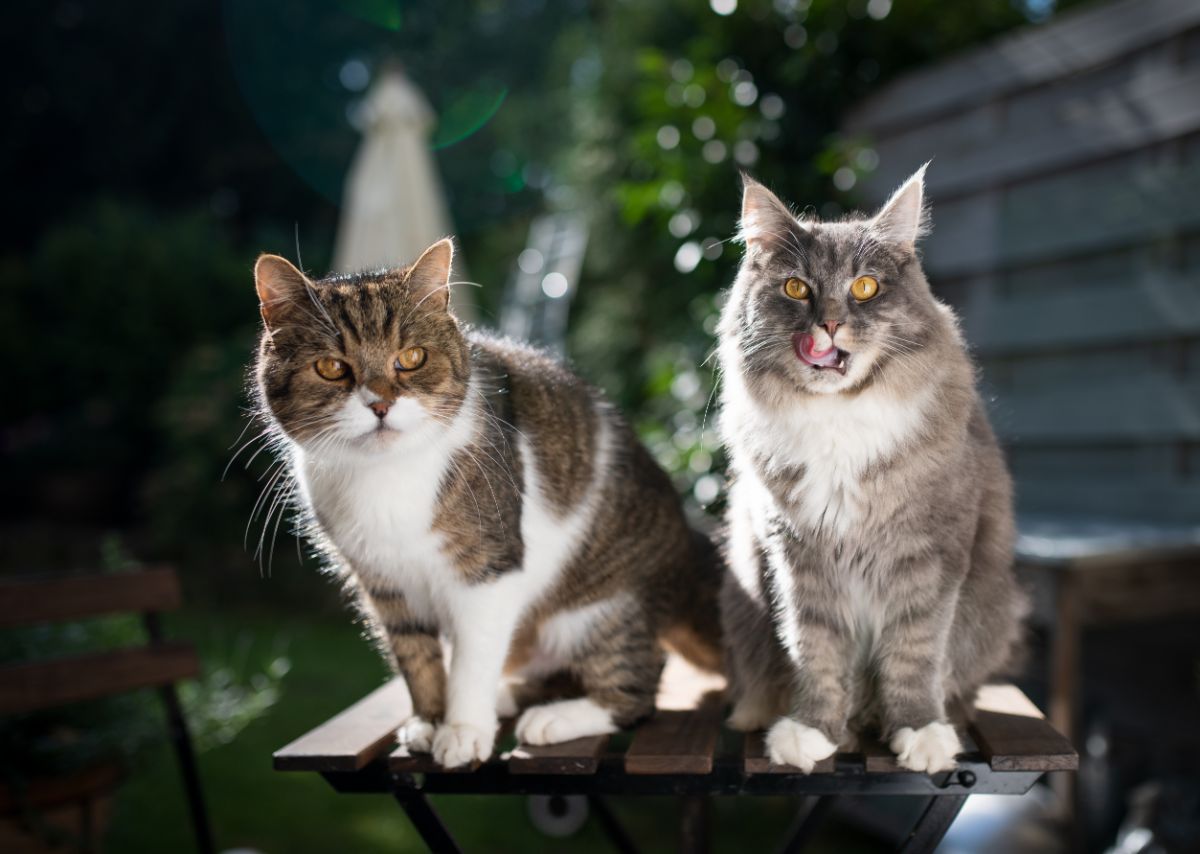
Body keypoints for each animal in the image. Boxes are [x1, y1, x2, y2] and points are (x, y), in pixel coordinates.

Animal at [250, 238, 720, 767]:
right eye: (332, 368)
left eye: (411, 357)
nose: (380, 405)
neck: (387, 478)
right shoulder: (385, 584)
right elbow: (416, 657)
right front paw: (430, 721)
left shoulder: (489, 570)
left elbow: (472, 659)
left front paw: (462, 730)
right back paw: (509, 695)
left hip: (600, 612)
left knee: (636, 693)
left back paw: (555, 717)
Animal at [715, 163, 1027, 772]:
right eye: (796, 288)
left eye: (865, 288)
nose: (831, 326)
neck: (838, 417)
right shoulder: (798, 557)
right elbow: (816, 650)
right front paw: (813, 729)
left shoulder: (930, 556)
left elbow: (915, 651)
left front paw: (920, 731)